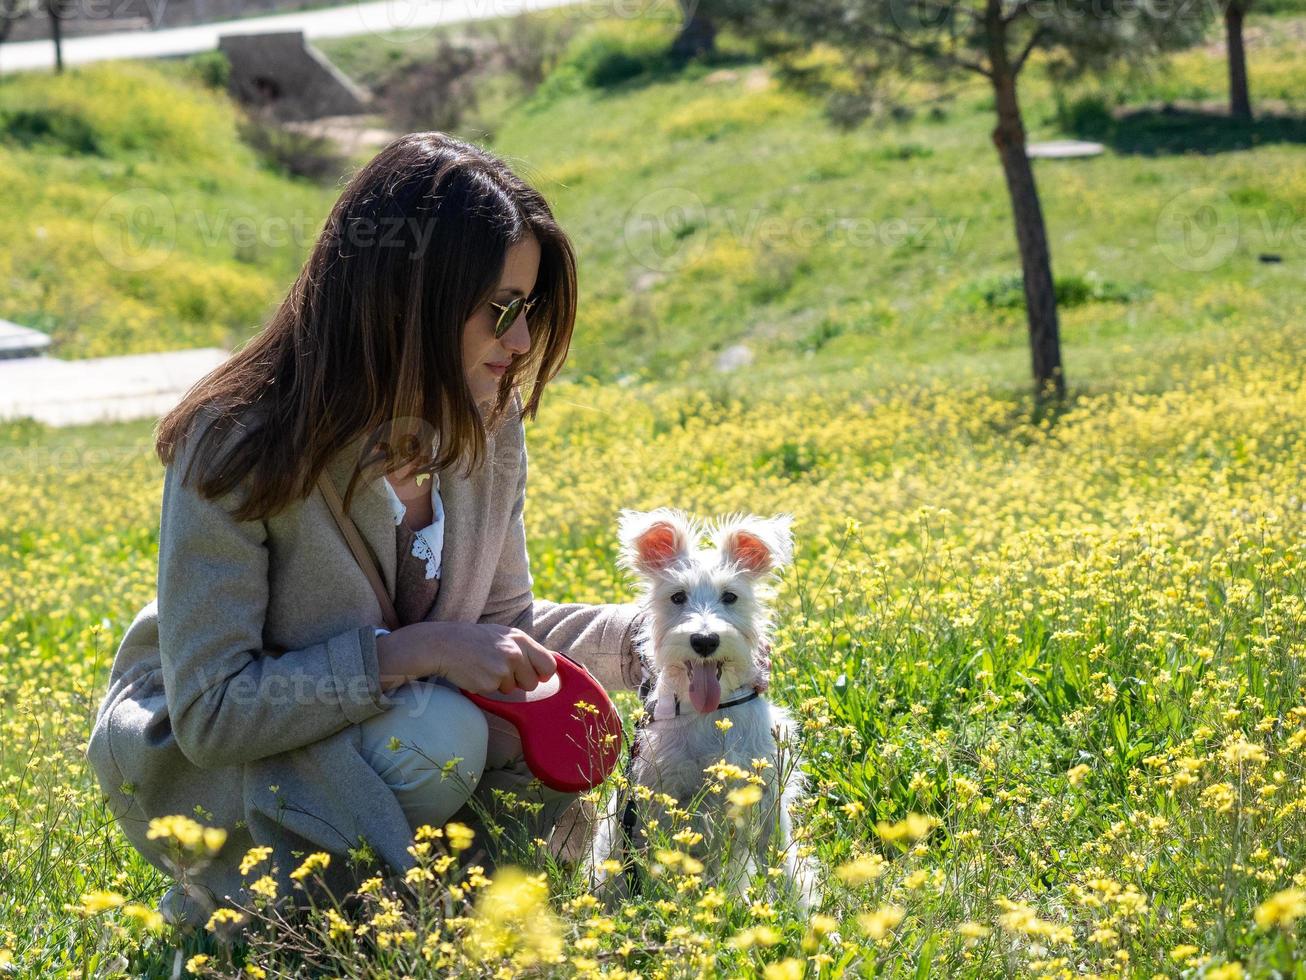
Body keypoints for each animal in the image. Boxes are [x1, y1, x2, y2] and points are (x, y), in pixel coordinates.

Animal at [590, 514, 820, 914]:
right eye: (677, 596)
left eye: (730, 596)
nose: (704, 640)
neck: (712, 714)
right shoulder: (662, 799)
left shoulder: (767, 799)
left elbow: (784, 864)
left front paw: (803, 918)